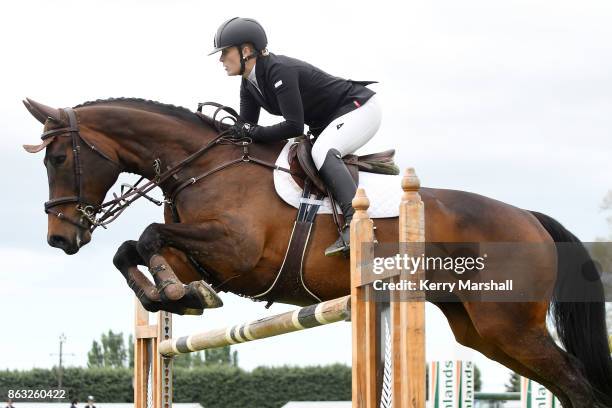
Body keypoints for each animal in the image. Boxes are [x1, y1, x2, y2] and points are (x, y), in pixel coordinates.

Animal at [21, 97, 608, 406]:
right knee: (563, 380)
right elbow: (132, 249)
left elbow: (145, 236)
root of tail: (529, 217)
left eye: (57, 157)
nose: (60, 238)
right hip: (483, 331)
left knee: (575, 381)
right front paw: (174, 296)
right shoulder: (202, 255)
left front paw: (173, 292)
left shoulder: (235, 250)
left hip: (510, 326)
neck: (200, 167)